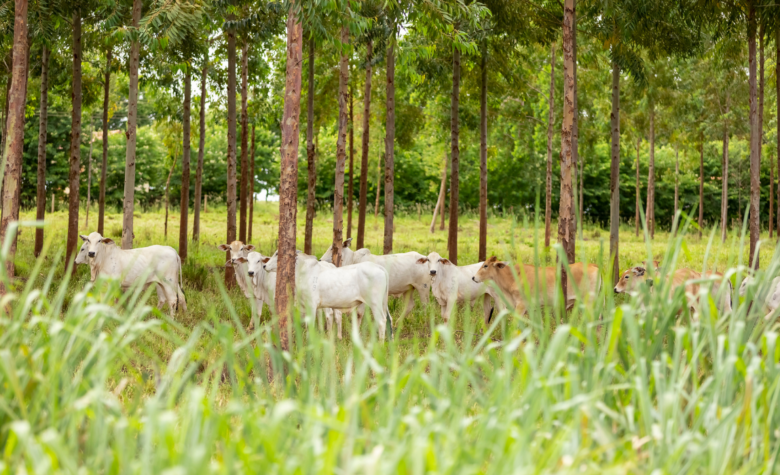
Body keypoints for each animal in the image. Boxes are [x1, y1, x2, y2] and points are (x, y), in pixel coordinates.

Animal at [470, 255, 604, 318]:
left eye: (485, 265)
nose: (473, 277)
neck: (512, 277)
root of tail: (593, 265)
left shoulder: (521, 305)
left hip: (589, 302)